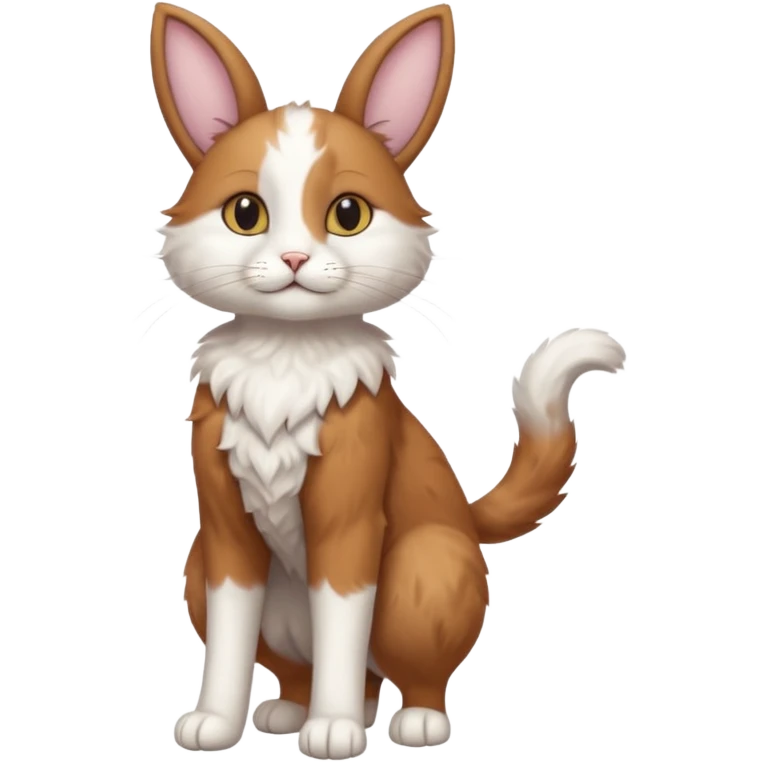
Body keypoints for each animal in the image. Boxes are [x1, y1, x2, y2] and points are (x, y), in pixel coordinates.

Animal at [149, 2, 627, 758]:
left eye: (348, 214)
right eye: (245, 213)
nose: (293, 258)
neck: (286, 358)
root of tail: (464, 518)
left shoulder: (351, 525)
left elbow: (345, 624)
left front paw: (337, 728)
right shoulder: (223, 536)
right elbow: (228, 638)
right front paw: (216, 722)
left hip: (424, 561)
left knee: (401, 670)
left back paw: (413, 720)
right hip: (198, 567)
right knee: (312, 667)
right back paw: (293, 707)